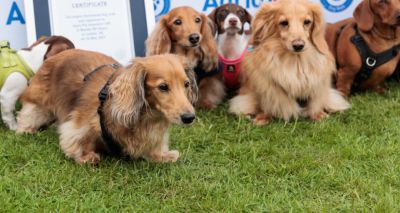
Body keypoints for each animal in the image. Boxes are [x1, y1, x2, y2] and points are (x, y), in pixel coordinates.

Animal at [16, 50, 198, 164]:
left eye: (186, 84)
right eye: (163, 87)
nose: (189, 118)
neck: (147, 118)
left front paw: (162, 155)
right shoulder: (80, 125)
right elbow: (75, 140)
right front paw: (85, 156)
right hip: (39, 105)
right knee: (28, 115)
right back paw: (26, 130)